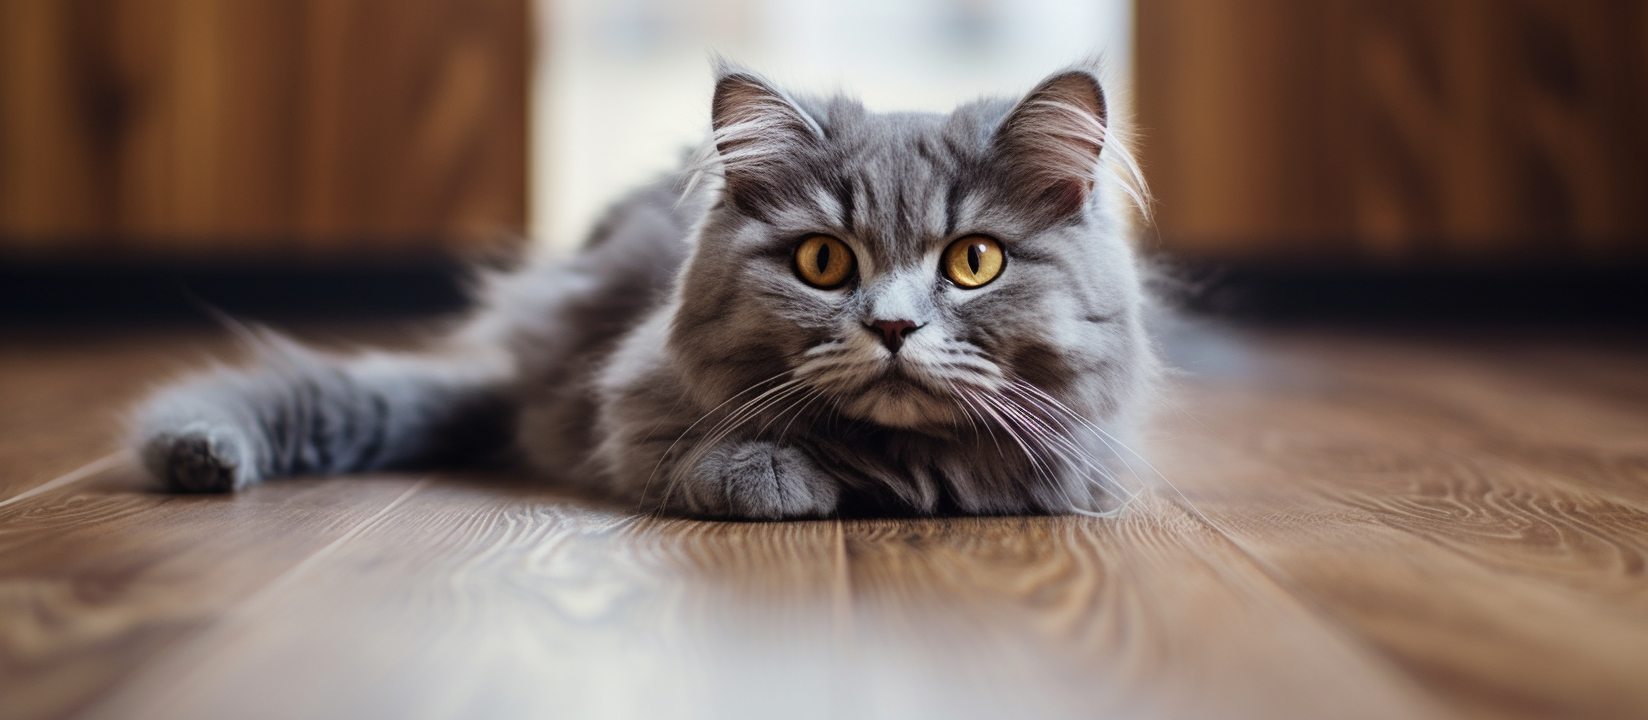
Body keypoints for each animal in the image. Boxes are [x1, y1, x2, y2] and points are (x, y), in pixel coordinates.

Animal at [131, 61, 1160, 520]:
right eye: (825, 263)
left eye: (973, 263)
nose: (895, 327)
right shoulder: (629, 400)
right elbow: (701, 450)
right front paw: (783, 478)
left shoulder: (1080, 456)